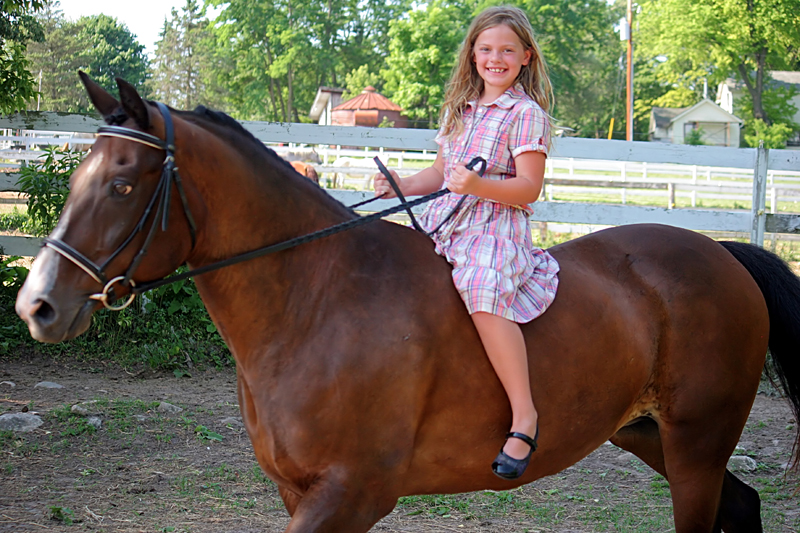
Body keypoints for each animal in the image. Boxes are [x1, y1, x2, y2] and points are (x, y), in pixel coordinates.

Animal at [15, 74, 800, 533]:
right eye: (80, 174)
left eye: (123, 183)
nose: (37, 305)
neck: (315, 299)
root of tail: (722, 253)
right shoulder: (301, 492)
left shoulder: (350, 493)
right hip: (646, 432)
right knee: (742, 503)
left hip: (695, 442)